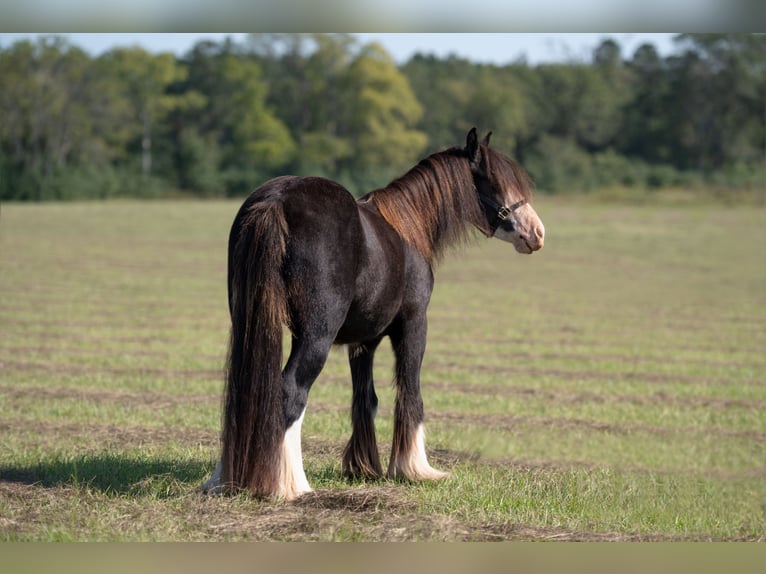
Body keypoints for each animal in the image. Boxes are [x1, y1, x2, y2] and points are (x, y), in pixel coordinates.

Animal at [204, 128, 544, 502]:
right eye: (495, 182)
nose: (536, 232)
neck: (408, 230)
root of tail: (276, 201)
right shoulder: (414, 325)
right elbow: (410, 392)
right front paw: (414, 468)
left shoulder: (363, 342)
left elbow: (365, 398)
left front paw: (363, 467)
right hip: (316, 336)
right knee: (290, 391)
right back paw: (291, 484)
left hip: (250, 324)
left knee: (244, 394)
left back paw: (224, 479)